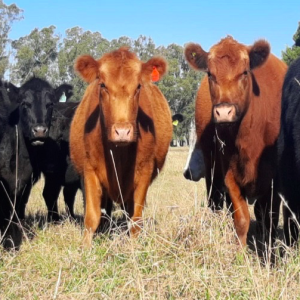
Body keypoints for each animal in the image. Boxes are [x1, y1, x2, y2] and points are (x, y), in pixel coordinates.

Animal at [69, 47, 172, 248]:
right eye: (102, 85)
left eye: (138, 86)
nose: (123, 131)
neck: (118, 154)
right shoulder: (89, 170)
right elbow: (91, 217)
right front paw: (85, 248)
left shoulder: (145, 171)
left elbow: (135, 219)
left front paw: (134, 248)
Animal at [184, 36, 288, 250]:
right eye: (210, 73)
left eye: (244, 72)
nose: (224, 112)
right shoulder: (229, 175)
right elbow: (240, 219)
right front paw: (240, 252)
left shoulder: (273, 183)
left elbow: (269, 220)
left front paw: (268, 253)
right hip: (212, 172)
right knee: (215, 203)